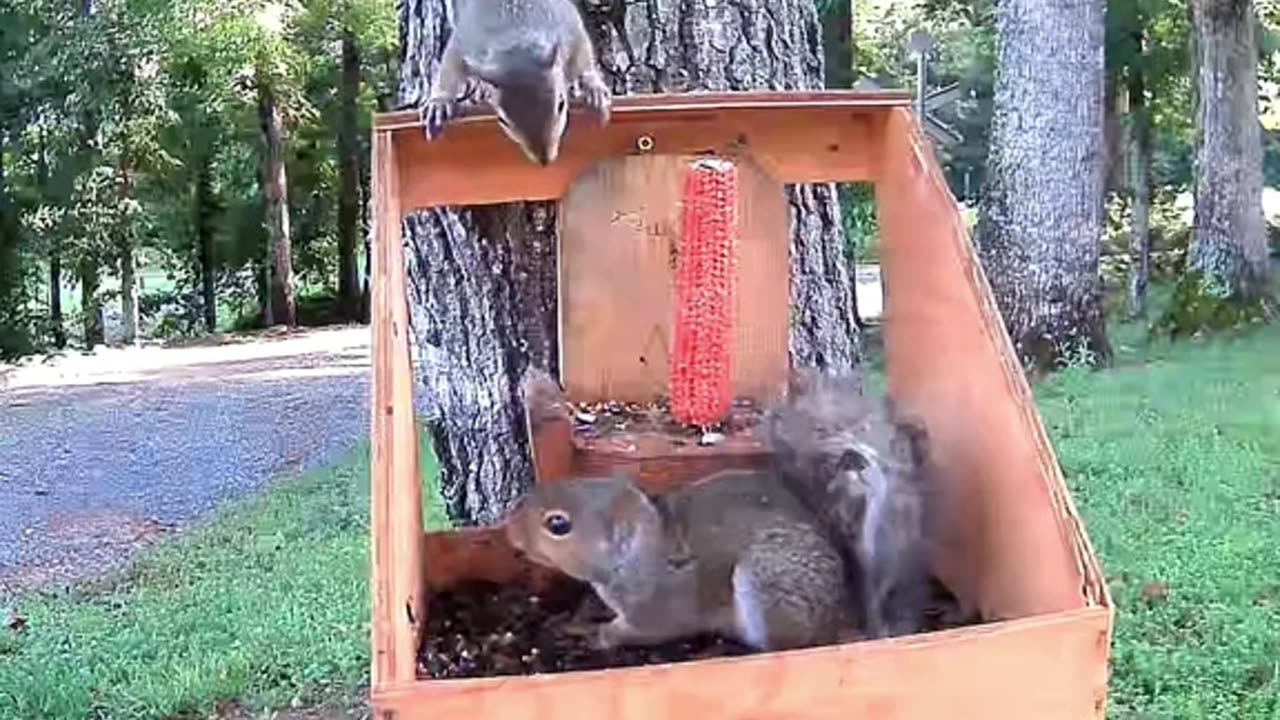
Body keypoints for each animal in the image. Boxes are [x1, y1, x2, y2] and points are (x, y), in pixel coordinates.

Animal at [504, 366, 936, 648]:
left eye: (558, 525)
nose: (510, 531)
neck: (644, 548)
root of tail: (847, 619)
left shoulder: (660, 605)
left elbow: (643, 630)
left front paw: (598, 634)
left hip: (768, 584)